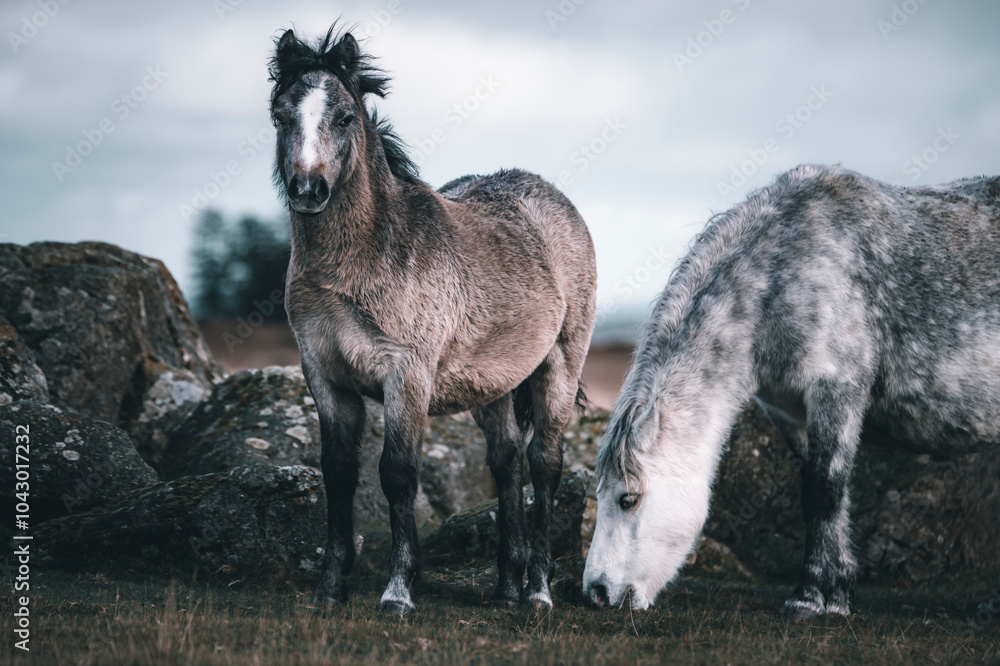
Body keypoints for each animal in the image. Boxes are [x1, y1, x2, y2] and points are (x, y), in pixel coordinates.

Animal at [268, 26, 596, 615]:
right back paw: (505, 589)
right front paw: (330, 589)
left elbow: (397, 474)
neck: (359, 260)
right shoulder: (325, 377)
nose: (308, 190)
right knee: (507, 462)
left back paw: (537, 592)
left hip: (559, 367)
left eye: (345, 116)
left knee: (544, 464)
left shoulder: (406, 376)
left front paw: (398, 592)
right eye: (281, 116)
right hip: (493, 385)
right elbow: (339, 472)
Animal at [583, 164, 1000, 617]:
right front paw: (836, 592)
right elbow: (817, 493)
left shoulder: (837, 393)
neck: (789, 271)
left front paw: (811, 598)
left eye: (628, 499)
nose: (597, 592)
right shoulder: (789, 411)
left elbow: (823, 490)